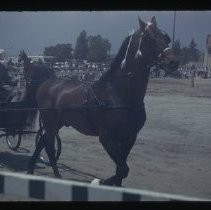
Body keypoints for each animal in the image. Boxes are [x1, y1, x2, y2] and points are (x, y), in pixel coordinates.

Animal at [25, 16, 178, 187]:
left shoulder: (129, 137)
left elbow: (121, 170)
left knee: (42, 142)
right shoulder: (106, 138)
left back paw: (33, 170)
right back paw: (54, 176)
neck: (118, 94)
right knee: (49, 146)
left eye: (166, 38)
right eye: (150, 38)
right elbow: (123, 169)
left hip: (57, 123)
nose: (173, 62)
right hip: (50, 123)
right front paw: (100, 181)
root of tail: (47, 82)